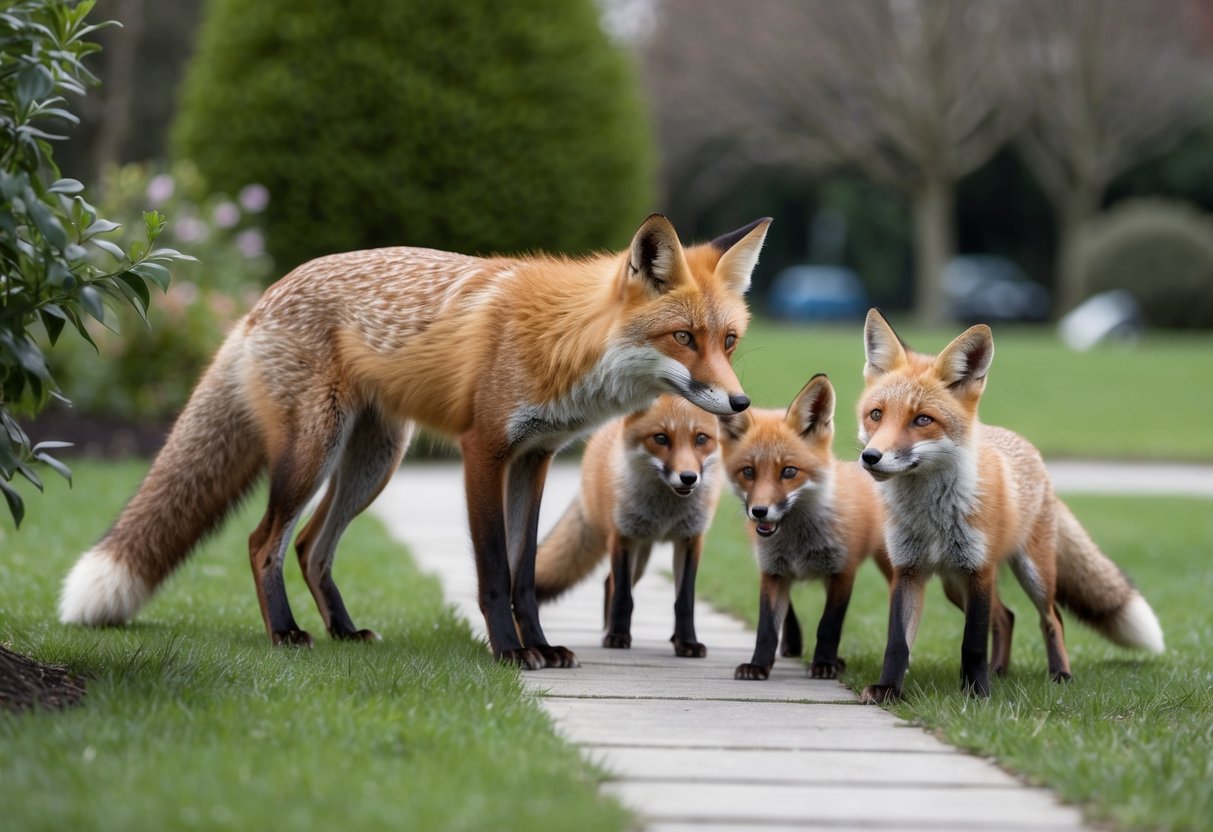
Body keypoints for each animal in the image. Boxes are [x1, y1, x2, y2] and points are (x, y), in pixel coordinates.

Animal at [533, 394, 723, 657]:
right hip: (634, 551)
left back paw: (672, 637)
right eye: (661, 438)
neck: (665, 513)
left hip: (642, 559)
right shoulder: (622, 537)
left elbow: (684, 601)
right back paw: (608, 630)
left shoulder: (691, 539)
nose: (688, 477)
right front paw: (617, 636)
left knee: (608, 582)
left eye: (701, 438)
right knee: (611, 583)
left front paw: (686, 642)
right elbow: (624, 597)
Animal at [720, 374, 895, 681]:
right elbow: (767, 627)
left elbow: (829, 626)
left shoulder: (842, 571)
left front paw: (824, 663)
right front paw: (758, 665)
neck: (798, 542)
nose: (759, 511)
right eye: (748, 472)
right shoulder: (772, 571)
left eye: (789, 471)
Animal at [856, 309, 1165, 702]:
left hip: (1033, 573)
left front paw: (977, 695)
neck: (931, 515)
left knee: (1052, 618)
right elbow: (897, 642)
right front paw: (888, 690)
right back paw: (998, 670)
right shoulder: (907, 571)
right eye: (876, 415)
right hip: (953, 584)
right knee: (1007, 616)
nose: (870, 457)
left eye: (922, 419)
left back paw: (1059, 674)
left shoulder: (979, 570)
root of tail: (1028, 448)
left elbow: (972, 643)